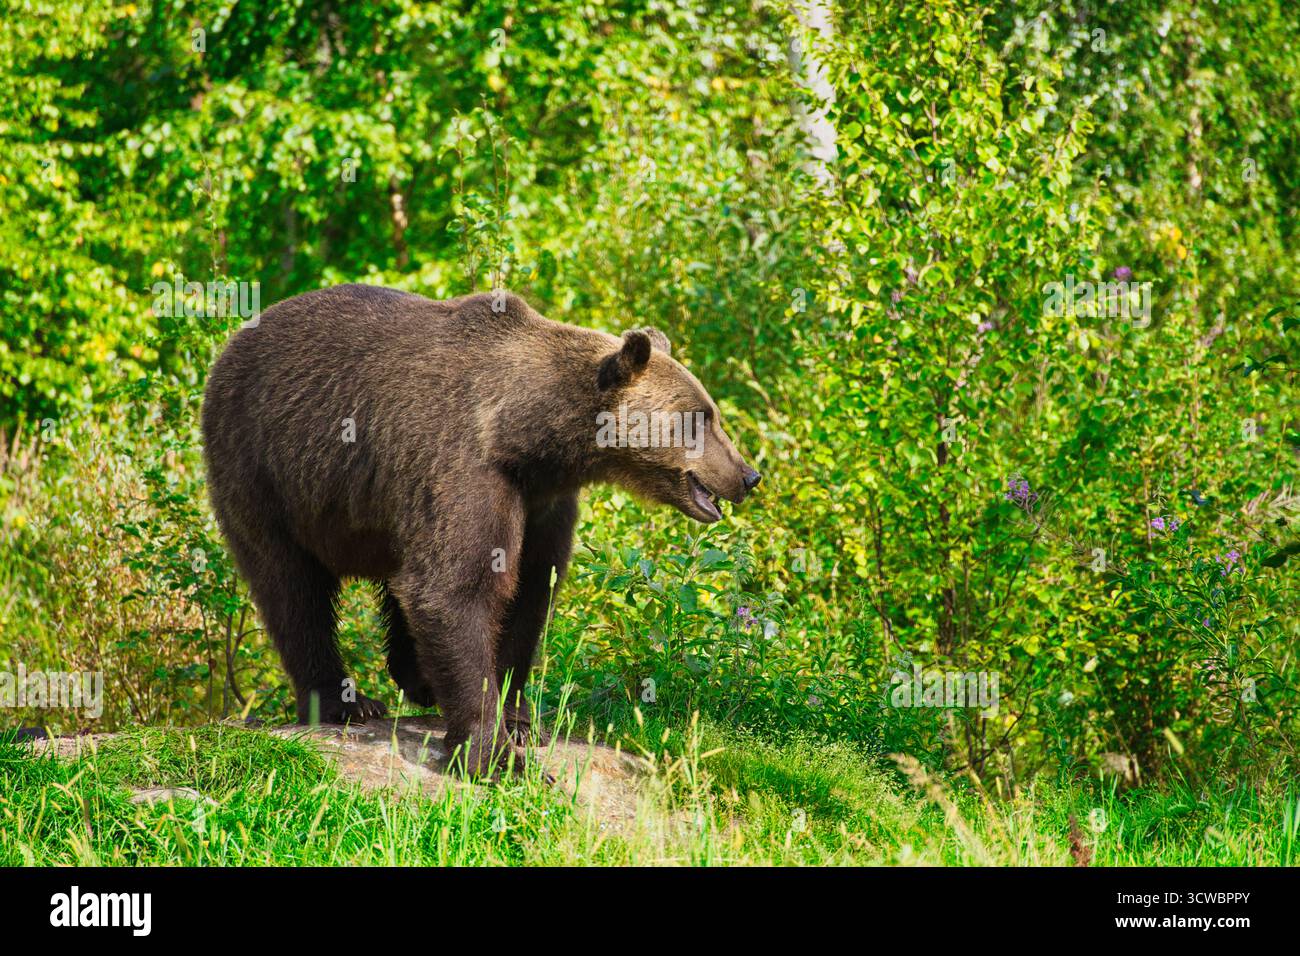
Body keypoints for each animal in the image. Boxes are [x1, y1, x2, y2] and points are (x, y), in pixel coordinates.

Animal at [201, 284, 760, 775]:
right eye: (700, 417)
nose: (748, 475)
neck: (529, 438)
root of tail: (234, 342)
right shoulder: (465, 466)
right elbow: (457, 588)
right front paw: (493, 754)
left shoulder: (542, 501)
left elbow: (528, 590)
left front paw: (520, 721)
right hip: (261, 467)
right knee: (292, 587)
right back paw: (345, 702)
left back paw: (417, 678)